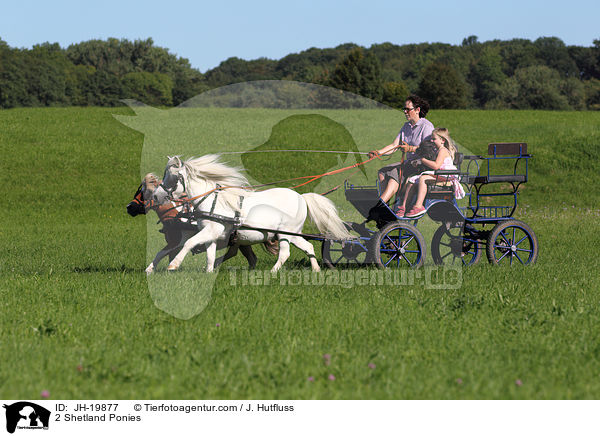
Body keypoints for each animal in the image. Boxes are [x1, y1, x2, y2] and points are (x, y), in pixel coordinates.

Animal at [152, 155, 354, 272]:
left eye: (171, 176)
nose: (156, 195)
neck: (212, 201)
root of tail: (301, 197)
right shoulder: (211, 233)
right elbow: (209, 253)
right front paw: (209, 272)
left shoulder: (211, 231)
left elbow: (188, 243)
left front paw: (173, 265)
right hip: (293, 233)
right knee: (308, 247)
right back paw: (316, 270)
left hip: (285, 234)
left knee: (285, 253)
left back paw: (273, 272)